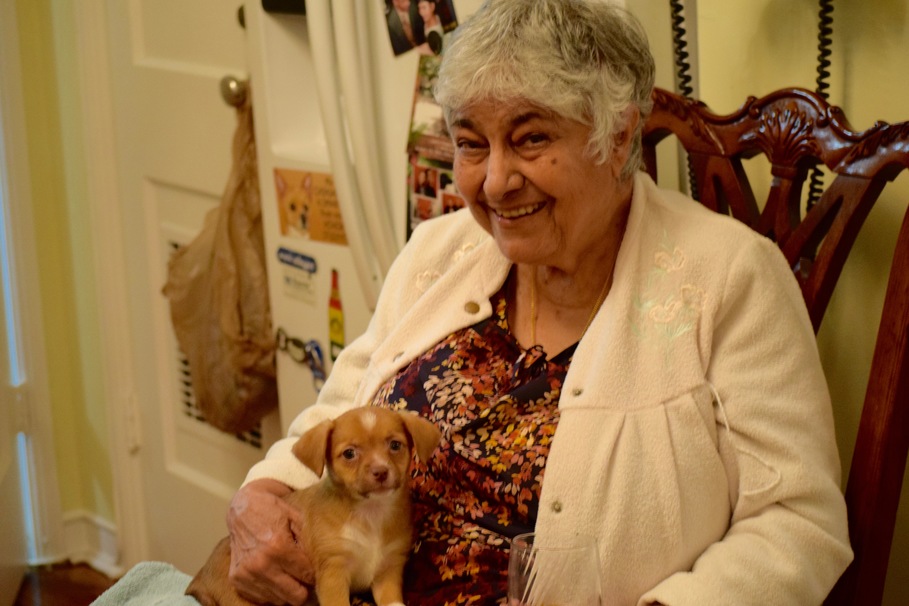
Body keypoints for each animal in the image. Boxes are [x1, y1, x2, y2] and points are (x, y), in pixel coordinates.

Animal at [186, 407, 442, 606]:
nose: (381, 472)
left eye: (395, 445)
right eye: (349, 453)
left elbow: (393, 601)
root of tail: (200, 577)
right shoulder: (333, 573)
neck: (371, 514)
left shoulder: (388, 571)